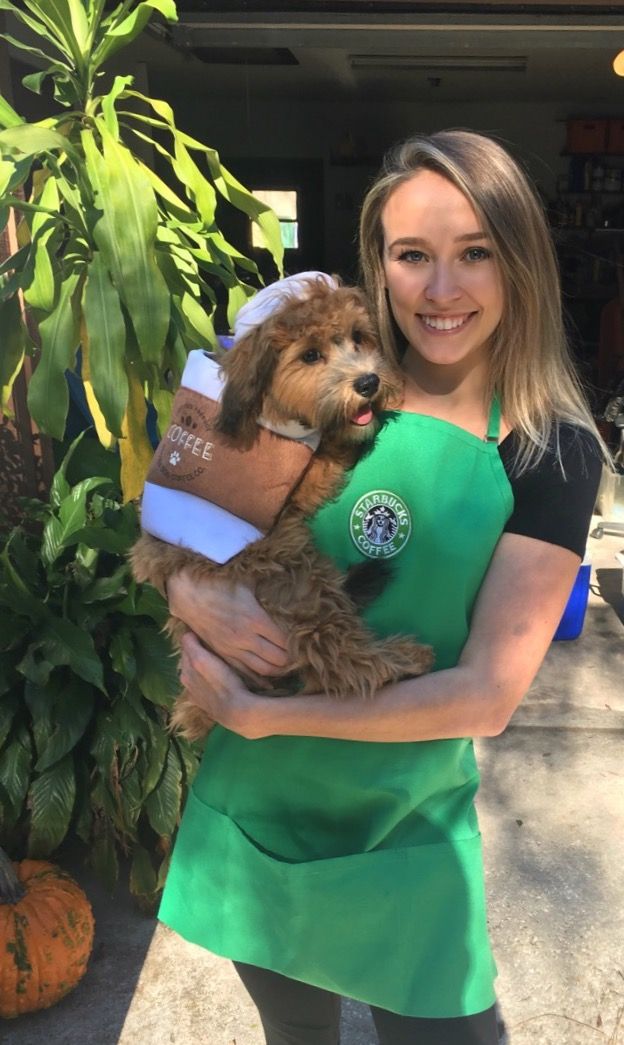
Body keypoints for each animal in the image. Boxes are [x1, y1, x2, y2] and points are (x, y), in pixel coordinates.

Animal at [131, 273, 432, 739]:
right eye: (310, 355)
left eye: (358, 338)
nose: (368, 383)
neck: (264, 406)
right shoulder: (290, 491)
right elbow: (327, 454)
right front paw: (348, 431)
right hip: (296, 577)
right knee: (341, 664)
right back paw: (401, 658)